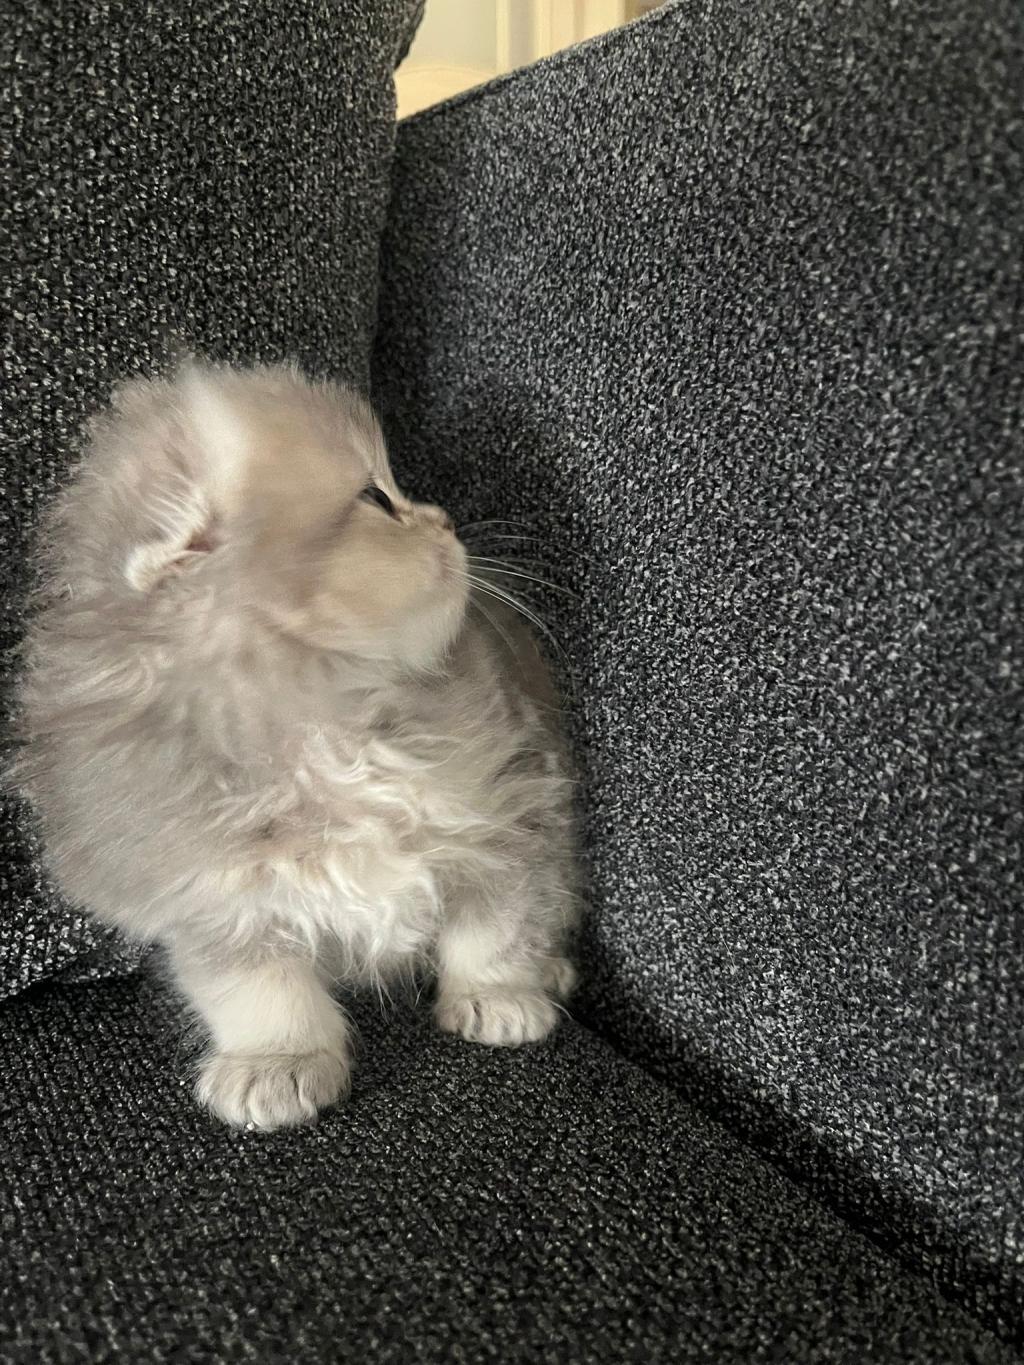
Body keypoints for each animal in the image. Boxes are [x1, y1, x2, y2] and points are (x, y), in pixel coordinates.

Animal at [10, 362, 578, 1129]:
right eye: (377, 498)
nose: (446, 521)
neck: (329, 729)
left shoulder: (508, 804)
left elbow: (498, 921)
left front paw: (498, 995)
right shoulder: (210, 889)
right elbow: (258, 989)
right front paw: (277, 1064)